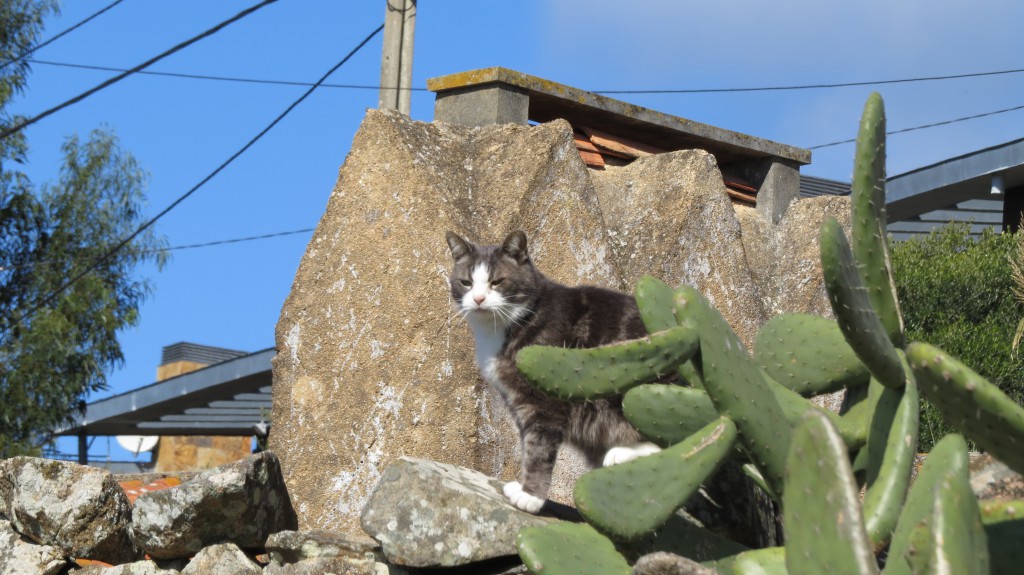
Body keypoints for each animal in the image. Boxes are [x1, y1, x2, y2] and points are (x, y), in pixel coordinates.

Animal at [444, 228, 659, 509]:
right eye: (466, 283)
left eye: (497, 282)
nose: (478, 299)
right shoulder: (519, 403)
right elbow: (527, 445)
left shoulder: (544, 400)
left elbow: (538, 449)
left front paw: (530, 497)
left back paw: (621, 453)